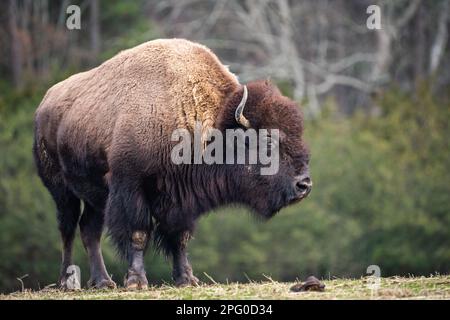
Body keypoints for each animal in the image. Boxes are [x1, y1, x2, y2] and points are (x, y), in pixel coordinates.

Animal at [33, 38, 312, 288]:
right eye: (267, 142)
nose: (304, 185)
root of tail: (44, 103)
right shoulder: (131, 187)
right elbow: (138, 233)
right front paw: (137, 281)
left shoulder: (180, 201)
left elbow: (180, 238)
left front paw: (187, 279)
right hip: (61, 190)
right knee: (68, 228)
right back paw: (66, 281)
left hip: (95, 196)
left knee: (89, 230)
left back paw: (103, 282)